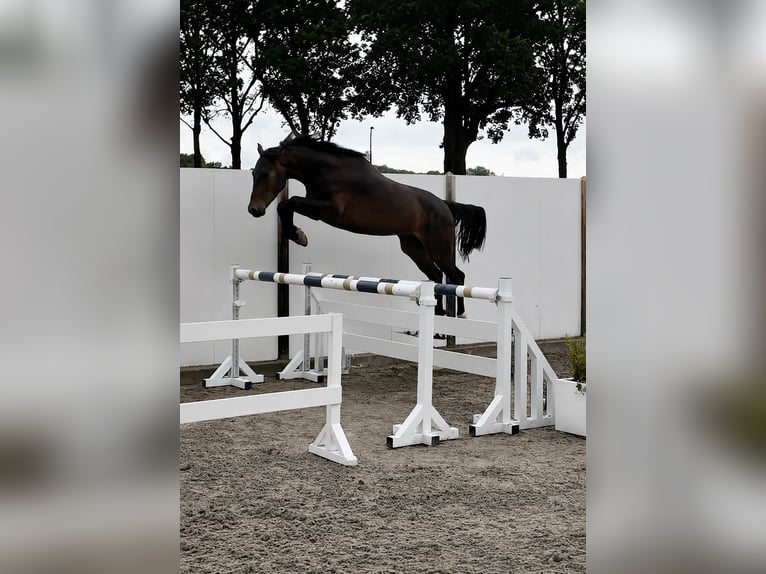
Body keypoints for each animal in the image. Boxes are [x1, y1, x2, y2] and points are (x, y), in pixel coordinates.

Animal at [247, 135, 487, 317]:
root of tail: (445, 206)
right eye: (253, 173)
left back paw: (460, 314)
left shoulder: (329, 211)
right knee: (436, 277)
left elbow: (289, 202)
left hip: (439, 249)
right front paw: (297, 234)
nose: (254, 210)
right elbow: (286, 205)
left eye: (266, 173)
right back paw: (438, 315)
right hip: (414, 249)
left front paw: (298, 235)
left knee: (456, 276)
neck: (326, 170)